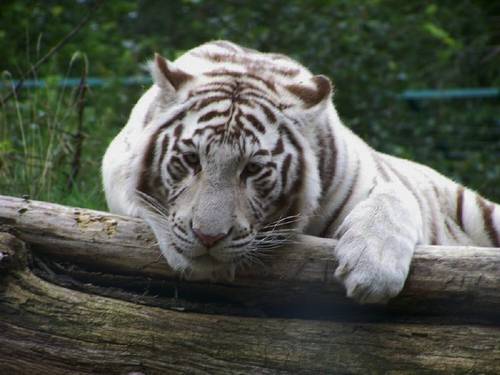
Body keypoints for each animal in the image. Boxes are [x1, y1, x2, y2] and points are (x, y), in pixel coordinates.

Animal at [102, 41, 500, 304]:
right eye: (191, 160)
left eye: (252, 169)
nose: (208, 237)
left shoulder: (376, 177)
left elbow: (394, 195)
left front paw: (373, 272)